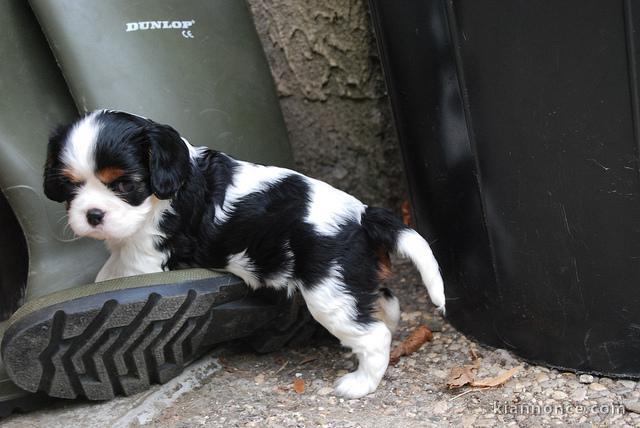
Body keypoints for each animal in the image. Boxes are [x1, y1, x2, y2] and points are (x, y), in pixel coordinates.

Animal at [43, 110, 444, 398]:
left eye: (125, 184)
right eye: (70, 186)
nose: (93, 215)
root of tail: (362, 215)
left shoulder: (148, 257)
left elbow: (122, 271)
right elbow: (108, 269)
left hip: (328, 293)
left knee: (374, 335)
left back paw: (360, 383)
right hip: (352, 278)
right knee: (384, 303)